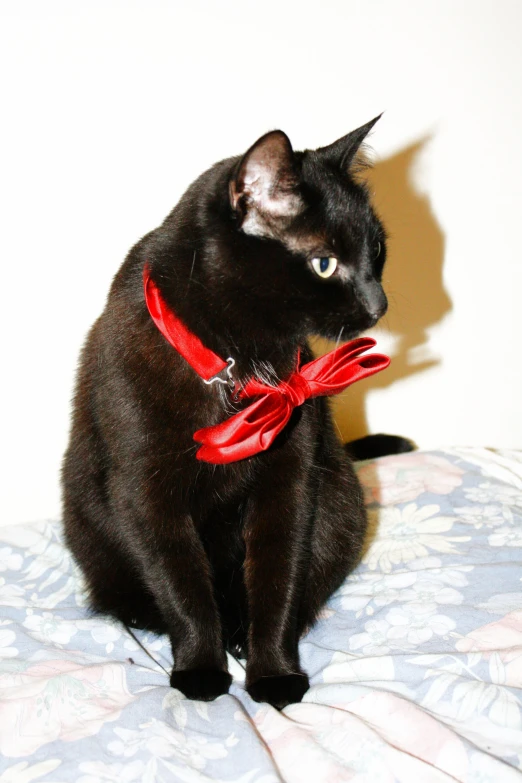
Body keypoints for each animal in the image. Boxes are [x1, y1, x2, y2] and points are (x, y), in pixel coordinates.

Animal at [60, 116, 402, 712]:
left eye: (377, 249)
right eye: (324, 263)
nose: (378, 303)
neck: (235, 370)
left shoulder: (290, 482)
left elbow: (277, 579)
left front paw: (273, 673)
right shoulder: (144, 495)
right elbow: (182, 587)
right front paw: (200, 668)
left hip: (340, 507)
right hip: (90, 524)